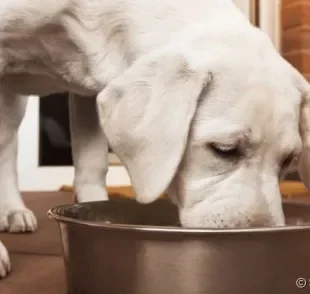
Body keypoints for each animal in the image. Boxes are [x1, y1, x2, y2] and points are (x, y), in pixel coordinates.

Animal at [0, 0, 310, 278]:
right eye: (224, 150)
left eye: (288, 160)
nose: (261, 236)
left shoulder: (87, 93)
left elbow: (92, 167)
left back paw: (13, 210)